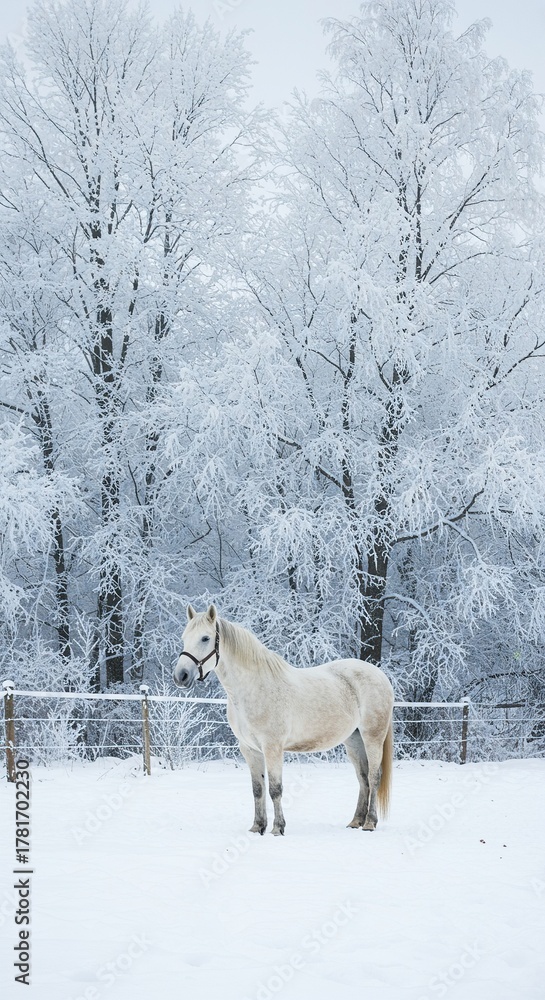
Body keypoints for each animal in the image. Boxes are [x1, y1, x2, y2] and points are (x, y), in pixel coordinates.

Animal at [173, 605, 394, 836]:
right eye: (184, 637)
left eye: (205, 638)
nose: (181, 676)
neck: (253, 688)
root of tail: (380, 675)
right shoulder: (249, 749)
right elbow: (258, 789)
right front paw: (257, 827)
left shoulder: (272, 747)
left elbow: (275, 789)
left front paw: (278, 828)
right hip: (353, 740)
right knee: (363, 778)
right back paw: (355, 821)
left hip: (372, 737)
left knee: (374, 777)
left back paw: (369, 823)